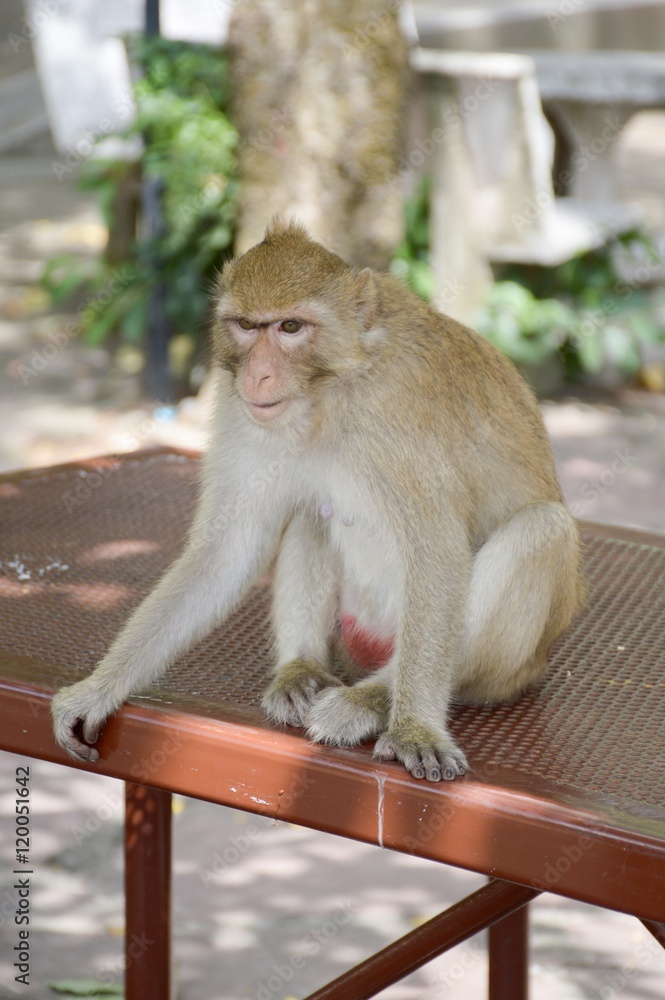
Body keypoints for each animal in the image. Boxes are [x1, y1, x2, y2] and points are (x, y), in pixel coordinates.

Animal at [51, 219, 585, 781]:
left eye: (290, 327)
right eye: (246, 326)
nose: (258, 375)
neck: (330, 392)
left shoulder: (400, 413)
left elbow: (437, 554)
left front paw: (414, 727)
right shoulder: (239, 408)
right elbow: (228, 550)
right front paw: (99, 688)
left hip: (506, 671)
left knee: (541, 530)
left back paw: (373, 700)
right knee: (310, 510)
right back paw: (301, 669)